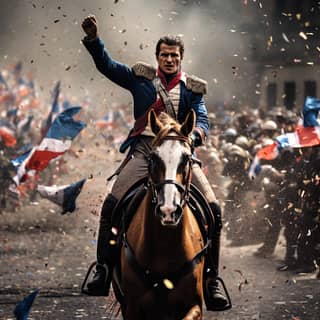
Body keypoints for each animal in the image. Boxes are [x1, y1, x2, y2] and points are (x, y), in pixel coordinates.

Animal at [113, 109, 210, 318]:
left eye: (186, 158)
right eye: (153, 158)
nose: (168, 211)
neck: (165, 244)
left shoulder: (194, 306)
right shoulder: (132, 308)